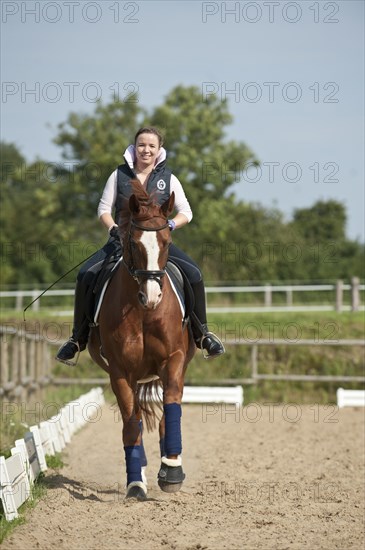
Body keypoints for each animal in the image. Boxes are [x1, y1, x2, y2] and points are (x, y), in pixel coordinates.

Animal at [88, 183, 195, 502]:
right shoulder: (120, 371)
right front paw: (136, 483)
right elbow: (129, 423)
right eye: (134, 244)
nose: (152, 296)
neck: (144, 312)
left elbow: (171, 408)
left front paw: (172, 471)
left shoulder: (173, 359)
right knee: (133, 418)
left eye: (167, 242)